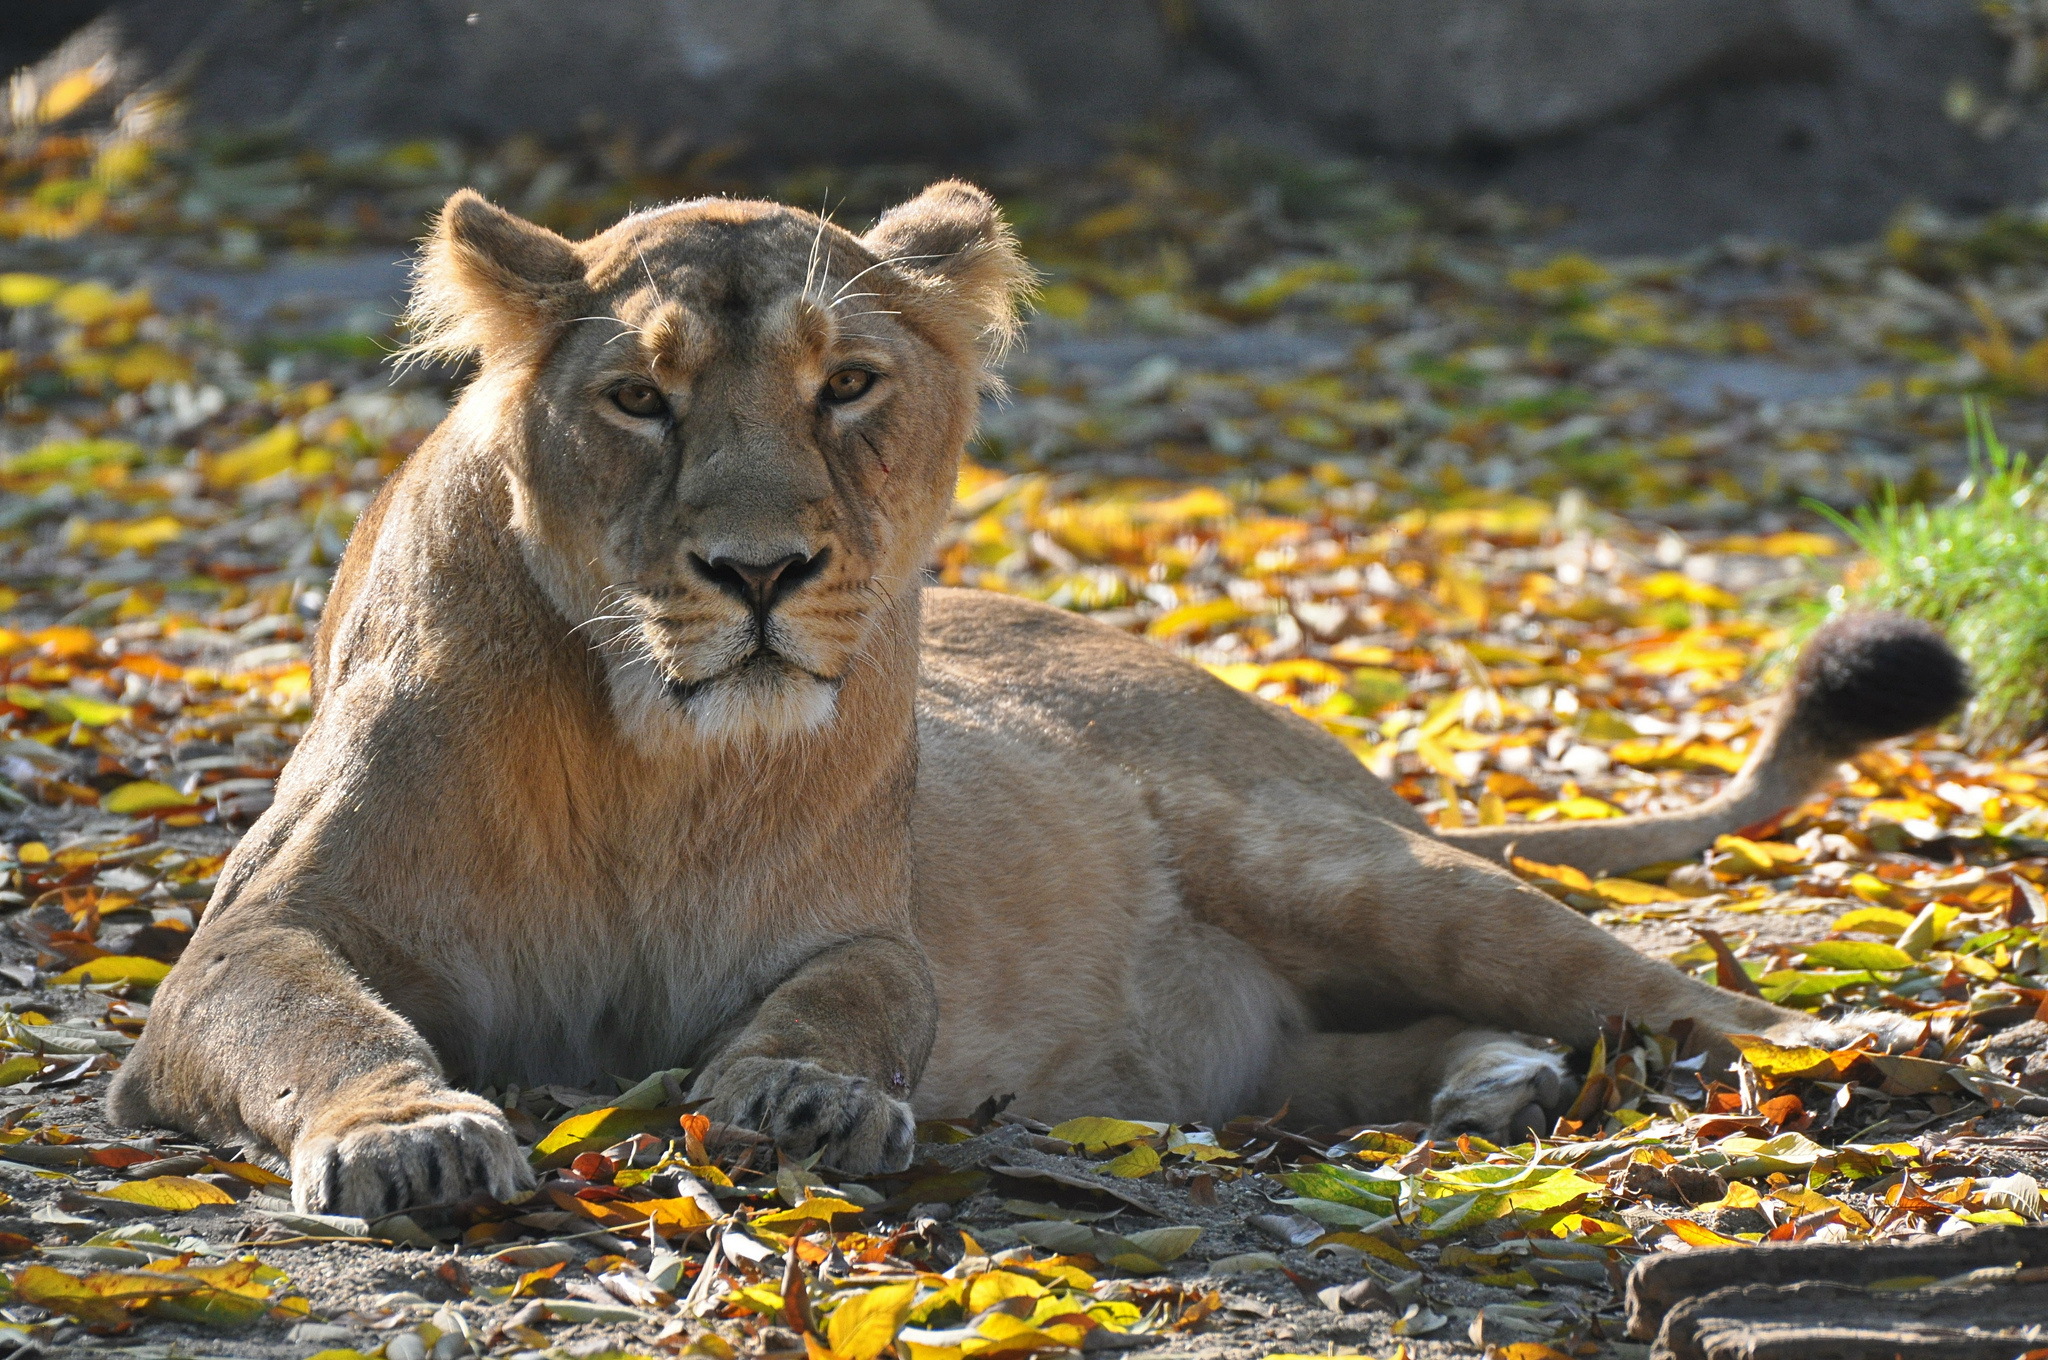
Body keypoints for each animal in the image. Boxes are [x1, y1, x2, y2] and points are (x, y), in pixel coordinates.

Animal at [108, 183, 1966, 1220]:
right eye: (638, 398)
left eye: (848, 386)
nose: (760, 571)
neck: (654, 760)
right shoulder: (251, 939)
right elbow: (319, 1020)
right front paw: (409, 1139)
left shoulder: (858, 933)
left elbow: (856, 1001)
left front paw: (798, 1100)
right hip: (1257, 1030)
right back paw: (1494, 1084)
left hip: (1350, 871)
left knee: (1677, 996)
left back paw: (1860, 1055)